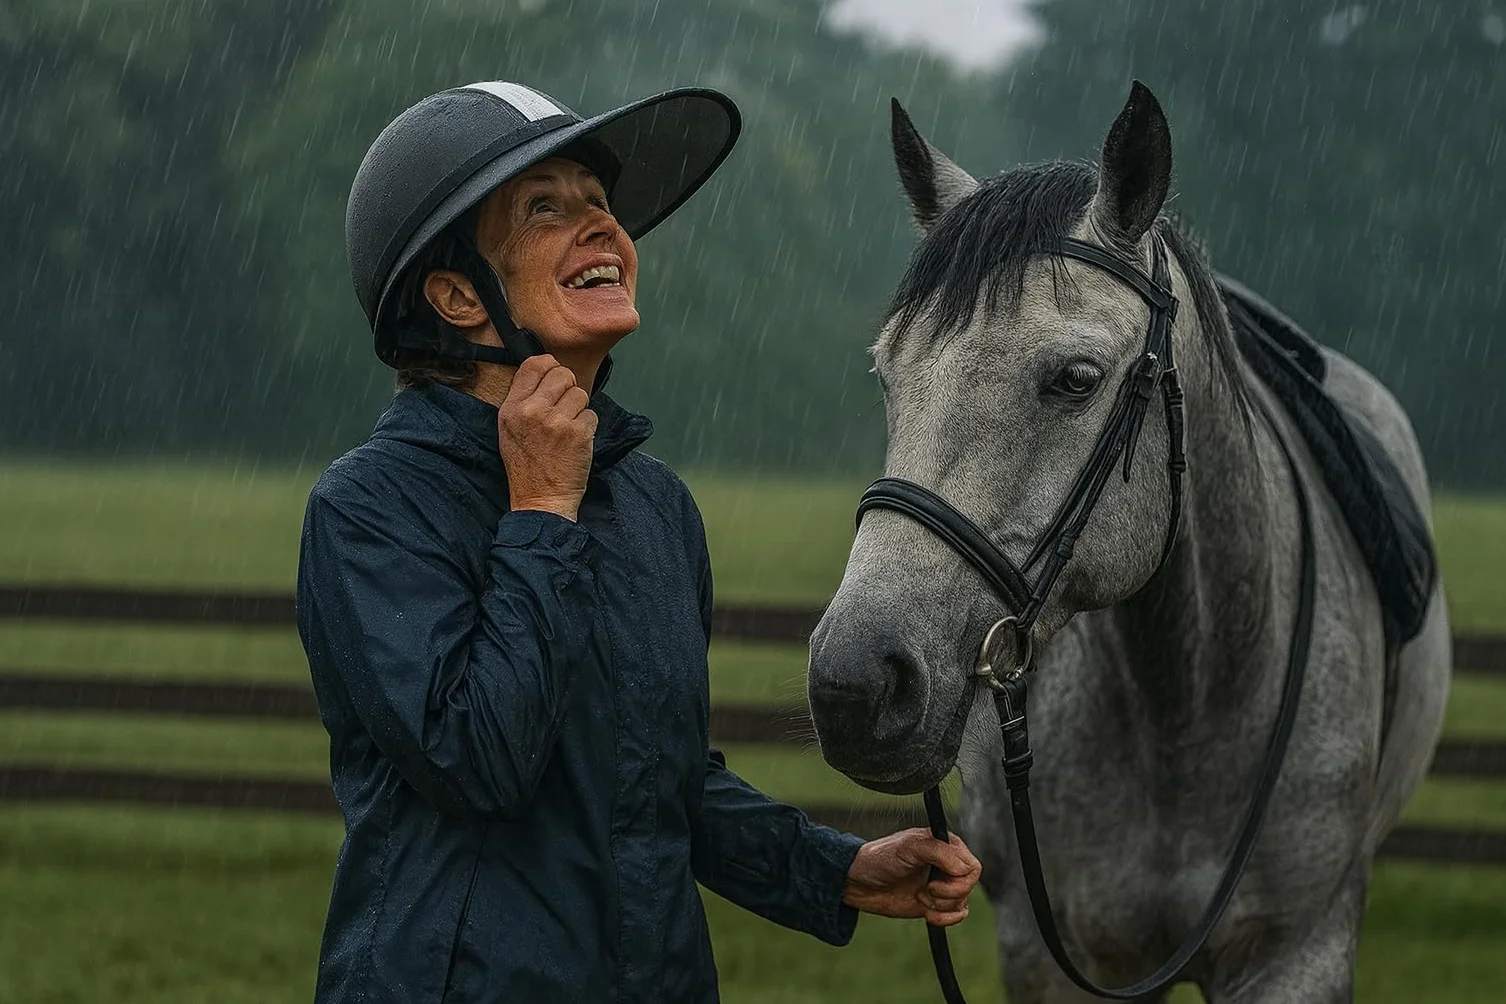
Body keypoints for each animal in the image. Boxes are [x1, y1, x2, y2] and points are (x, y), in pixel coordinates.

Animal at [806, 82, 1451, 1003]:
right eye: (887, 375)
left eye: (1076, 379)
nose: (855, 684)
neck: (1185, 698)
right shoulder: (1051, 957)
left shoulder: (1298, 956)